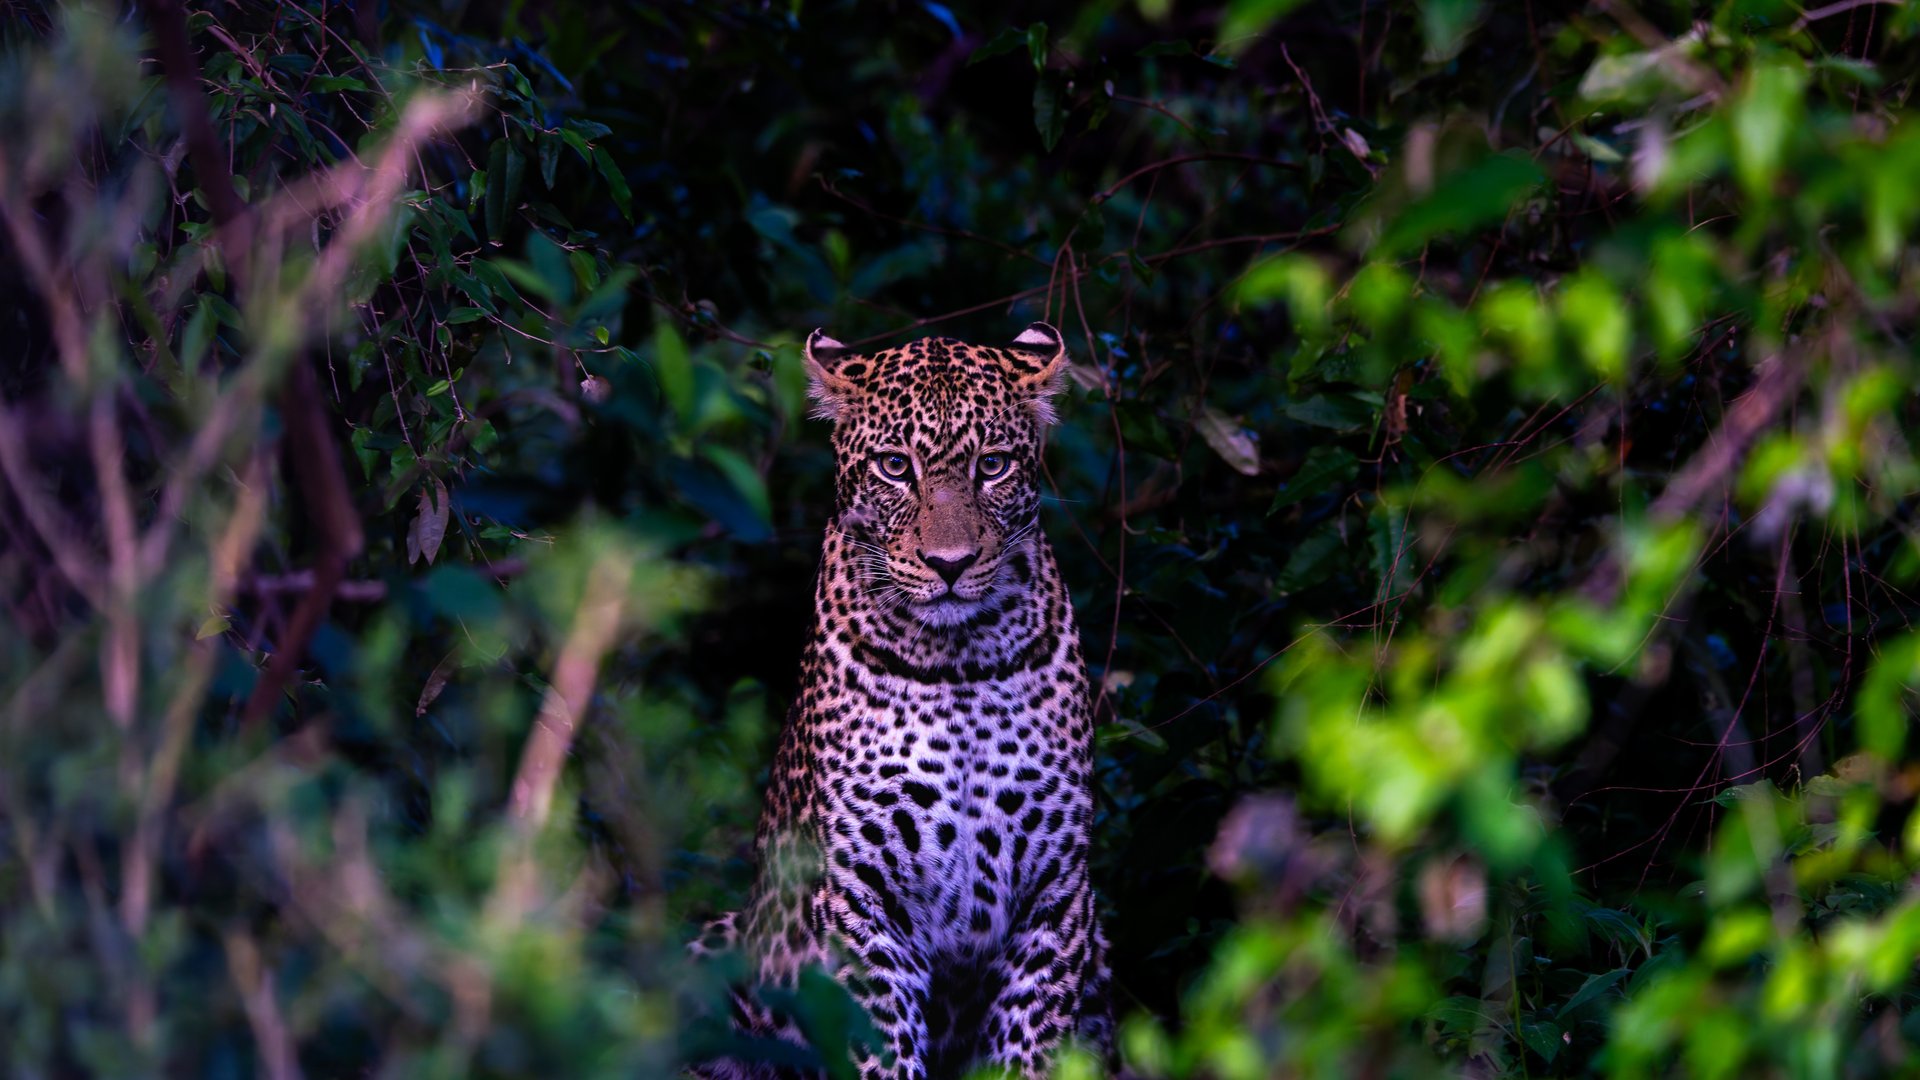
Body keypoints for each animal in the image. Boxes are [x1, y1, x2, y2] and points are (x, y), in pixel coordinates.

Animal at [691, 322, 1111, 1080]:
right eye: (894, 466)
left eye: (992, 465)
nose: (950, 563)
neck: (959, 662)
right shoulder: (863, 897)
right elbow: (879, 1046)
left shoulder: (1056, 895)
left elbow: (1030, 1045)